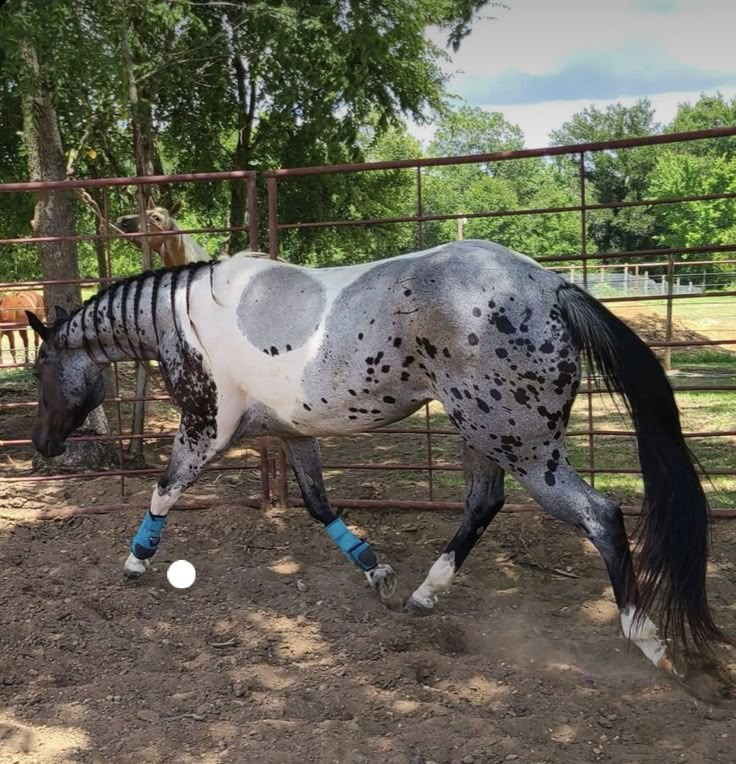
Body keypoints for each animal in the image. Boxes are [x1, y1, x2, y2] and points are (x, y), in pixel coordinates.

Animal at [25, 240, 728, 692]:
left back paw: (651, 644)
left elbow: (165, 488)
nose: (39, 444)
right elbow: (317, 504)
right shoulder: (293, 434)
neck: (188, 315)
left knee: (601, 516)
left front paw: (136, 561)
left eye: (38, 369)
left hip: (523, 446)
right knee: (484, 503)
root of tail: (552, 287)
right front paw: (376, 571)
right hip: (485, 435)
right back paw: (422, 595)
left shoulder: (206, 430)